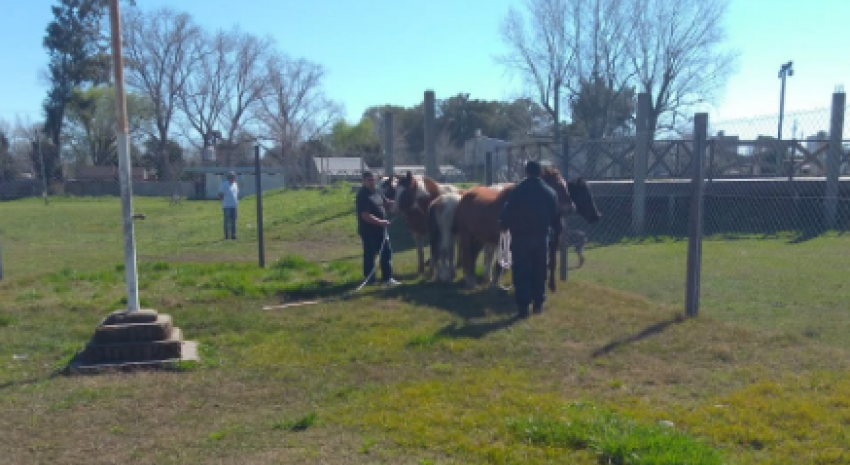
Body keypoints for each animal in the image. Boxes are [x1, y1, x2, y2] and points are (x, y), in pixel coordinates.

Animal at [454, 167, 600, 290]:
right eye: (556, 186)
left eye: (566, 187)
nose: (596, 216)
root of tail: (467, 194)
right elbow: (501, 265)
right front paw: (495, 285)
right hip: (466, 235)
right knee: (467, 256)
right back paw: (470, 282)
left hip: (478, 237)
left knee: (472, 256)